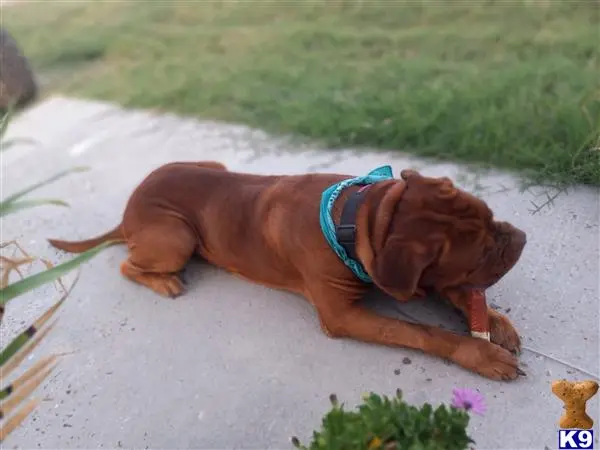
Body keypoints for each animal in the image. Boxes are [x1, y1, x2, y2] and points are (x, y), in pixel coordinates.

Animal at [49, 162, 524, 380]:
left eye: (491, 216)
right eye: (481, 253)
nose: (521, 238)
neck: (358, 219)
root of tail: (128, 208)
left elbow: (458, 293)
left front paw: (494, 322)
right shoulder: (343, 316)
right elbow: (423, 332)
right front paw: (479, 353)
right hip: (175, 237)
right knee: (127, 263)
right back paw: (162, 281)